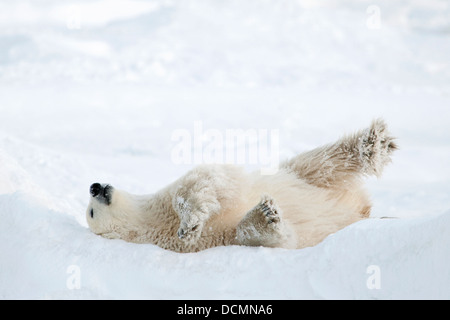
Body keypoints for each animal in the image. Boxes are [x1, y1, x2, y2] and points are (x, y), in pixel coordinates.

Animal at [85, 119, 398, 254]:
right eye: (90, 212)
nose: (94, 185)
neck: (150, 223)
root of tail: (361, 210)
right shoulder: (207, 242)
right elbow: (257, 236)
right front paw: (266, 216)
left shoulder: (166, 198)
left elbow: (205, 179)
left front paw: (189, 222)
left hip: (297, 175)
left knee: (319, 162)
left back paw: (374, 143)